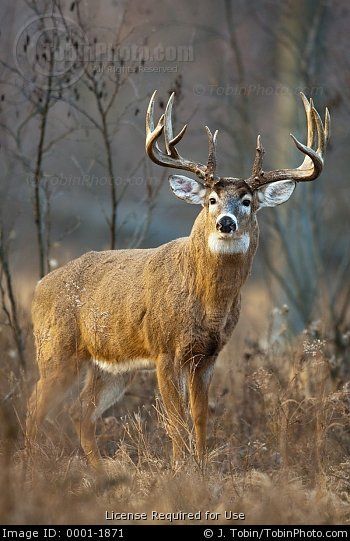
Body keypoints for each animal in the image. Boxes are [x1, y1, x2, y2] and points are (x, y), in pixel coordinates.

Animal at [26, 90, 330, 466]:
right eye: (211, 199)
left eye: (247, 200)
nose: (225, 222)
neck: (207, 305)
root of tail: (39, 286)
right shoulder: (164, 350)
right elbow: (174, 420)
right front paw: (178, 469)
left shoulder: (208, 355)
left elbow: (199, 417)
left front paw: (200, 468)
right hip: (56, 348)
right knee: (35, 404)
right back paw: (30, 467)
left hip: (112, 367)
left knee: (80, 413)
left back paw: (99, 470)